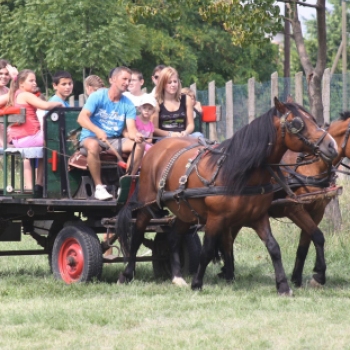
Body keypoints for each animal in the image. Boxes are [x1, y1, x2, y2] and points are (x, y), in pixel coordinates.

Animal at [117, 98, 336, 296]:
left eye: (313, 119)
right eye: (297, 123)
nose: (331, 146)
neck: (240, 172)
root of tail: (156, 148)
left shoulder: (258, 216)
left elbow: (274, 247)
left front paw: (283, 286)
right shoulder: (216, 218)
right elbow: (207, 250)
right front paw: (197, 283)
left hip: (185, 211)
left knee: (173, 237)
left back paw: (177, 276)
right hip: (146, 206)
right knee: (137, 236)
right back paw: (127, 274)